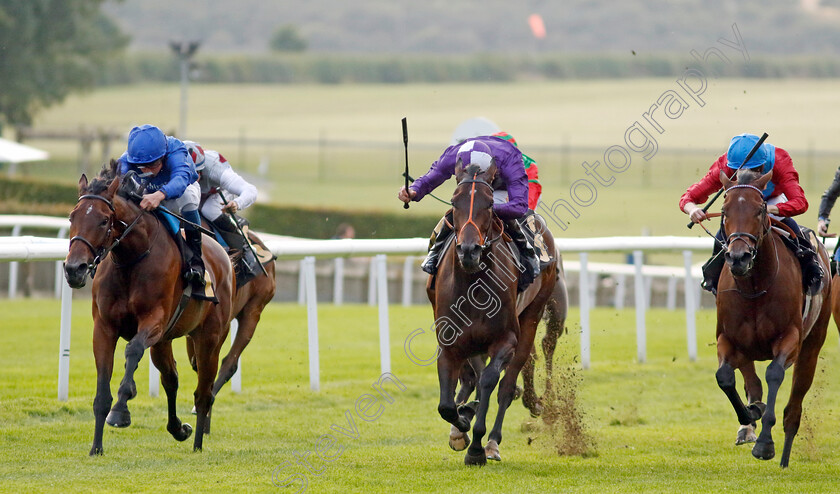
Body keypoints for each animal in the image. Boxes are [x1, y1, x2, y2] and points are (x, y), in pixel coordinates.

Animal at [62, 162, 233, 456]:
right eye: (73, 217)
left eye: (104, 220)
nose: (75, 269)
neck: (131, 260)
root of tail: (223, 255)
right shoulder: (104, 328)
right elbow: (102, 391)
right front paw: (96, 447)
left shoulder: (154, 322)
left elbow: (132, 350)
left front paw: (121, 410)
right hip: (164, 343)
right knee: (171, 379)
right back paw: (179, 429)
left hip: (209, 338)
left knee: (204, 392)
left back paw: (198, 444)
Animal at [426, 163, 556, 466]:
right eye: (454, 202)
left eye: (488, 204)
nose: (469, 250)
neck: (473, 285)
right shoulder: (449, 343)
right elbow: (446, 405)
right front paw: (461, 423)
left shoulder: (505, 339)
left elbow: (490, 381)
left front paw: (476, 447)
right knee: (474, 374)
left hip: (531, 318)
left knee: (505, 386)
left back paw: (493, 442)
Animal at [712, 170, 832, 466]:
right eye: (724, 210)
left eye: (760, 209)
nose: (739, 257)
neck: (754, 285)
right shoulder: (728, 338)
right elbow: (724, 377)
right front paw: (751, 414)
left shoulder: (790, 338)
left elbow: (774, 374)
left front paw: (765, 444)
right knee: (750, 380)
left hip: (813, 343)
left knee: (795, 406)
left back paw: (785, 456)